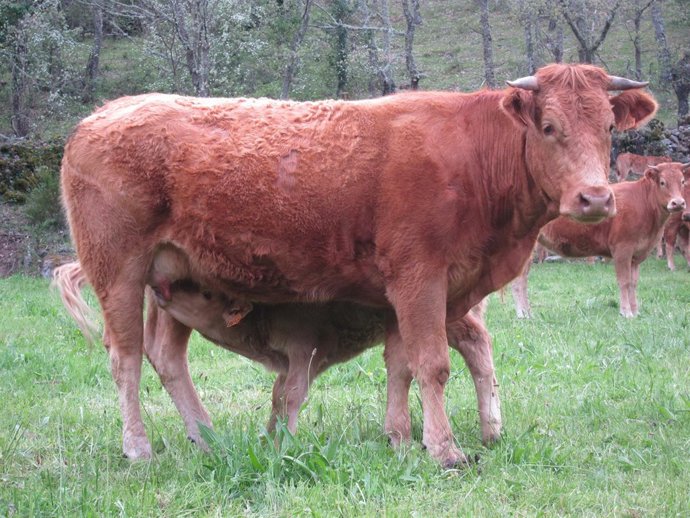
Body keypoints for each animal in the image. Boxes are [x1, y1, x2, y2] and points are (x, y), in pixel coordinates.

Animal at [54, 248, 501, 452]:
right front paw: (271, 436)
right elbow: (278, 396)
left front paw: (284, 441)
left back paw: (490, 428)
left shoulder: (303, 351)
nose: (163, 288)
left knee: (476, 346)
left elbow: (291, 395)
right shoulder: (289, 361)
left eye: (204, 290)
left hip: (448, 316)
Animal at [512, 162, 688, 319]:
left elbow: (633, 283)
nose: (678, 203)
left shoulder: (636, 255)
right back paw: (522, 314)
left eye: (682, 181)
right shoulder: (622, 249)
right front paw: (626, 312)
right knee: (520, 278)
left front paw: (635, 311)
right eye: (662, 182)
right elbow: (624, 281)